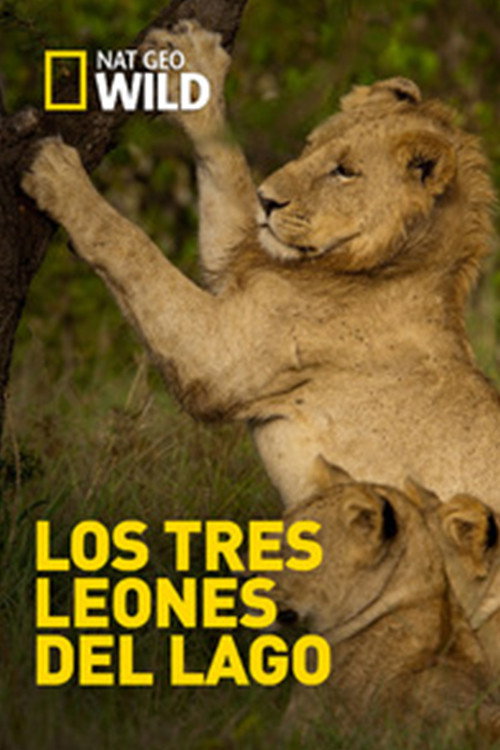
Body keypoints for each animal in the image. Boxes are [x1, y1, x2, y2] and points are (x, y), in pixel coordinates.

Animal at [21, 21, 500, 511]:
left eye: (344, 171)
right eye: (310, 146)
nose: (267, 200)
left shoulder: (218, 357)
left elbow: (130, 243)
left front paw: (57, 173)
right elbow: (227, 167)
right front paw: (193, 64)